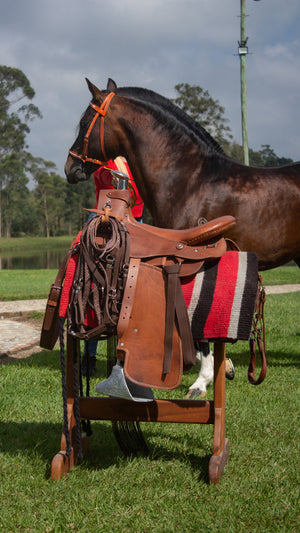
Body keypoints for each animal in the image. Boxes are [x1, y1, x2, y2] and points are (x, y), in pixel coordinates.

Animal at [64, 79, 298, 394]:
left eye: (84, 122)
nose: (70, 168)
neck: (190, 180)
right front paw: (225, 367)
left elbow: (195, 322)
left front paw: (202, 380)